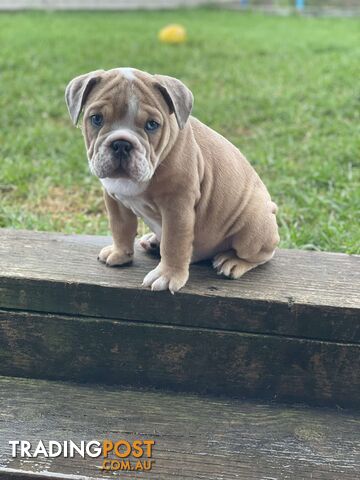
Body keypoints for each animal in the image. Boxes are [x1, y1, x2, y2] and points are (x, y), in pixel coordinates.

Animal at [64, 67, 280, 292]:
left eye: (152, 125)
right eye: (96, 119)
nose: (122, 144)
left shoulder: (177, 208)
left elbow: (174, 243)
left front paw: (167, 275)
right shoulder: (114, 199)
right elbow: (120, 227)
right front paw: (120, 254)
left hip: (253, 228)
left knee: (262, 254)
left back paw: (234, 261)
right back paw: (152, 241)